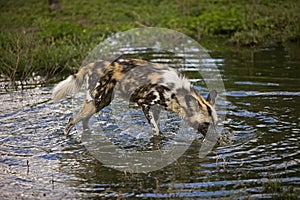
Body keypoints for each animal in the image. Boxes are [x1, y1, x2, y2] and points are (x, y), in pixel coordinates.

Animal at [51, 58, 216, 135]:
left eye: (215, 124)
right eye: (206, 124)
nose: (216, 141)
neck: (176, 91)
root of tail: (90, 65)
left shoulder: (156, 109)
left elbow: (158, 129)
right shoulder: (144, 104)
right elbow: (156, 131)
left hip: (100, 103)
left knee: (84, 120)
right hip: (98, 101)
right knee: (72, 120)